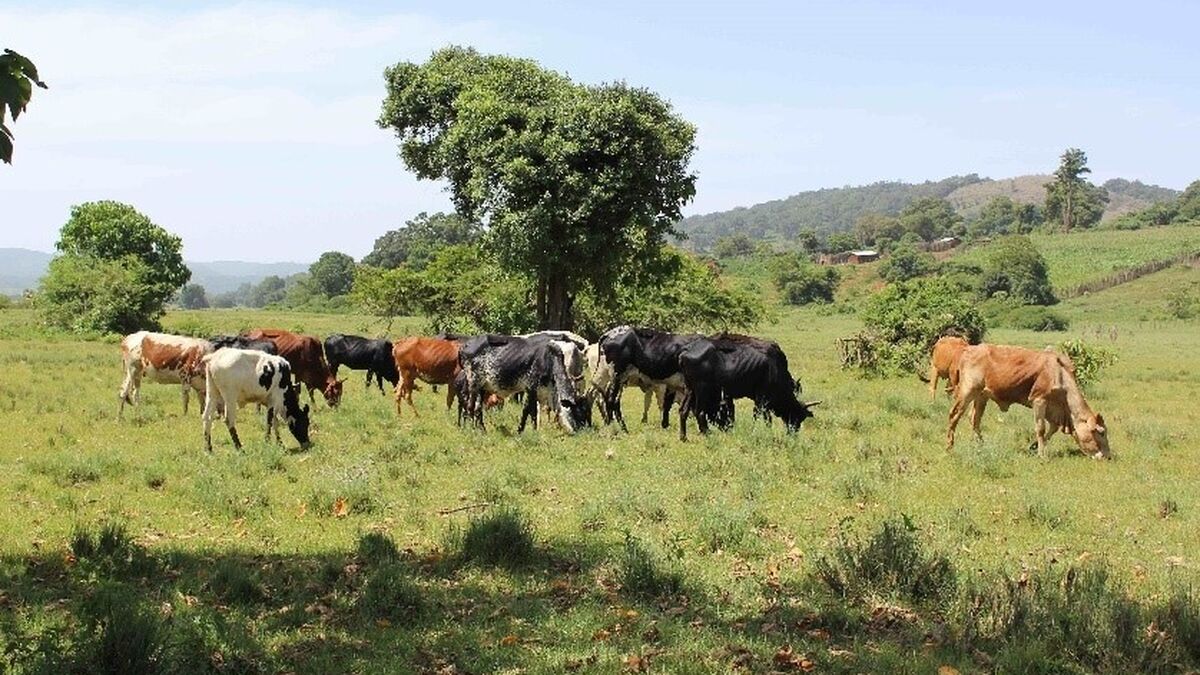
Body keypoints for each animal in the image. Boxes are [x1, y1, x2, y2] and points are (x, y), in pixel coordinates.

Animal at [681, 331, 820, 439]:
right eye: (799, 417)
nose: (793, 433)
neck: (776, 368)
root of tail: (686, 352)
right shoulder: (762, 399)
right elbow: (762, 417)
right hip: (702, 390)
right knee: (699, 412)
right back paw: (708, 434)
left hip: (690, 390)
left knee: (683, 411)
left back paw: (684, 437)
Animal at [940, 341, 1108, 456]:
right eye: (1101, 433)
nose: (1108, 456)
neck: (1060, 374)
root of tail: (968, 349)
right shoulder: (1039, 400)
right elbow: (1041, 428)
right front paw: (1042, 454)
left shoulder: (1053, 408)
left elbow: (1052, 428)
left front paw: (1034, 447)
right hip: (967, 391)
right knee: (954, 415)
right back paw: (949, 446)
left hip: (981, 396)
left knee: (974, 419)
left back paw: (979, 444)